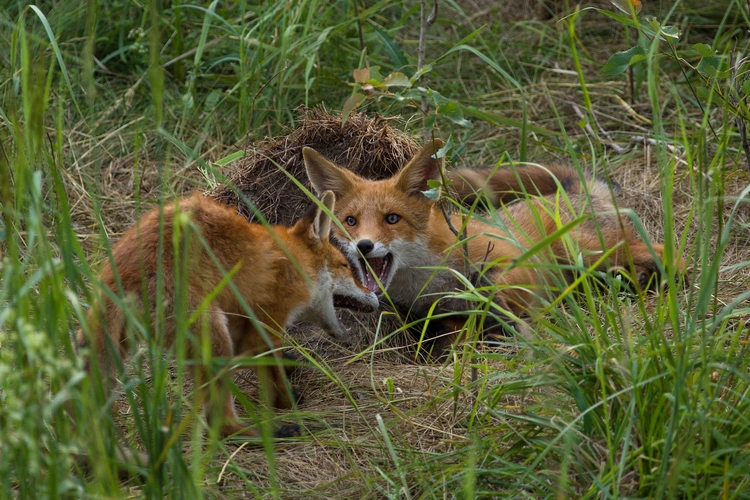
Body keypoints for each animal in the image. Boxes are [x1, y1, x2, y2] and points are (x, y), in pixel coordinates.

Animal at [78, 191, 378, 438]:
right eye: (345, 266)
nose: (376, 294)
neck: (294, 262)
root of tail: (119, 272)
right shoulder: (267, 324)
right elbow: (272, 374)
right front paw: (288, 402)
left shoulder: (242, 327)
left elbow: (254, 360)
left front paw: (289, 365)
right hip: (213, 335)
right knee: (218, 424)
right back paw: (272, 433)